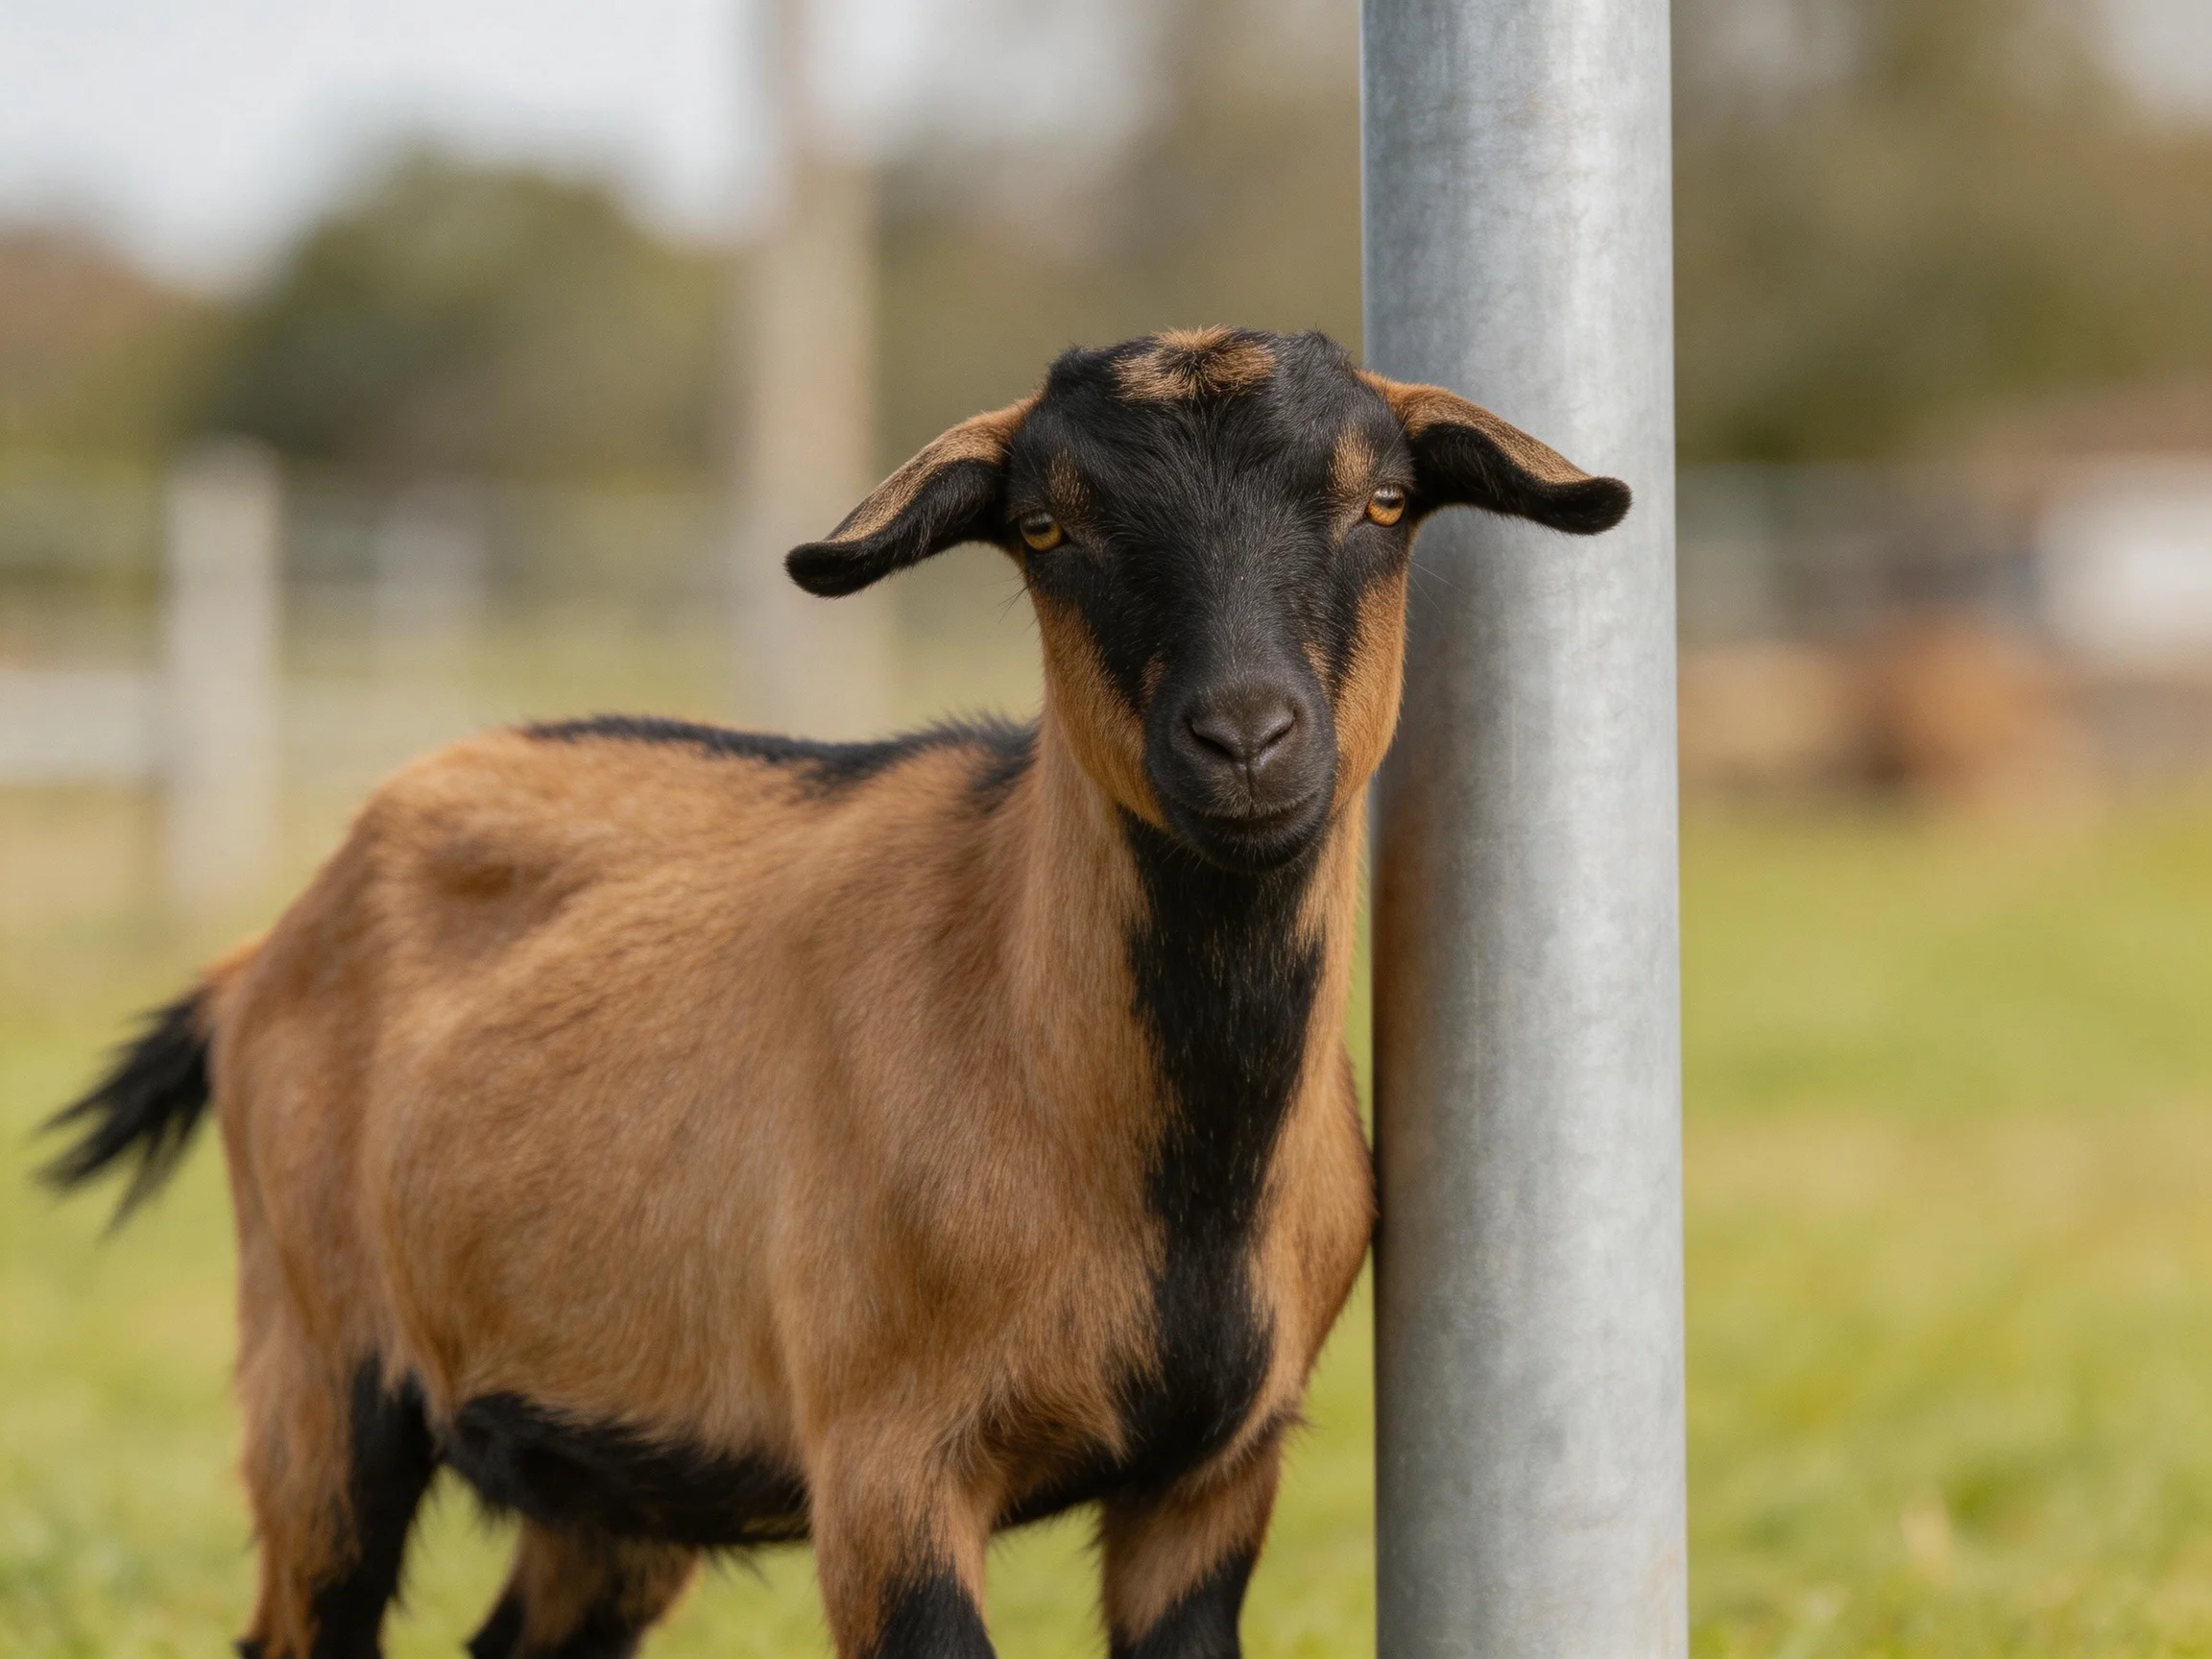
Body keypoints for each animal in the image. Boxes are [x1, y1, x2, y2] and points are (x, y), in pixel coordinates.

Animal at [44, 327, 1629, 1659]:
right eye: (1048, 526)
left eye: (1382, 503)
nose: (1245, 738)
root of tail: (261, 957)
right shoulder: (884, 1462)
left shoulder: (1213, 1480)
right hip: (316, 1362)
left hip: (609, 1465)